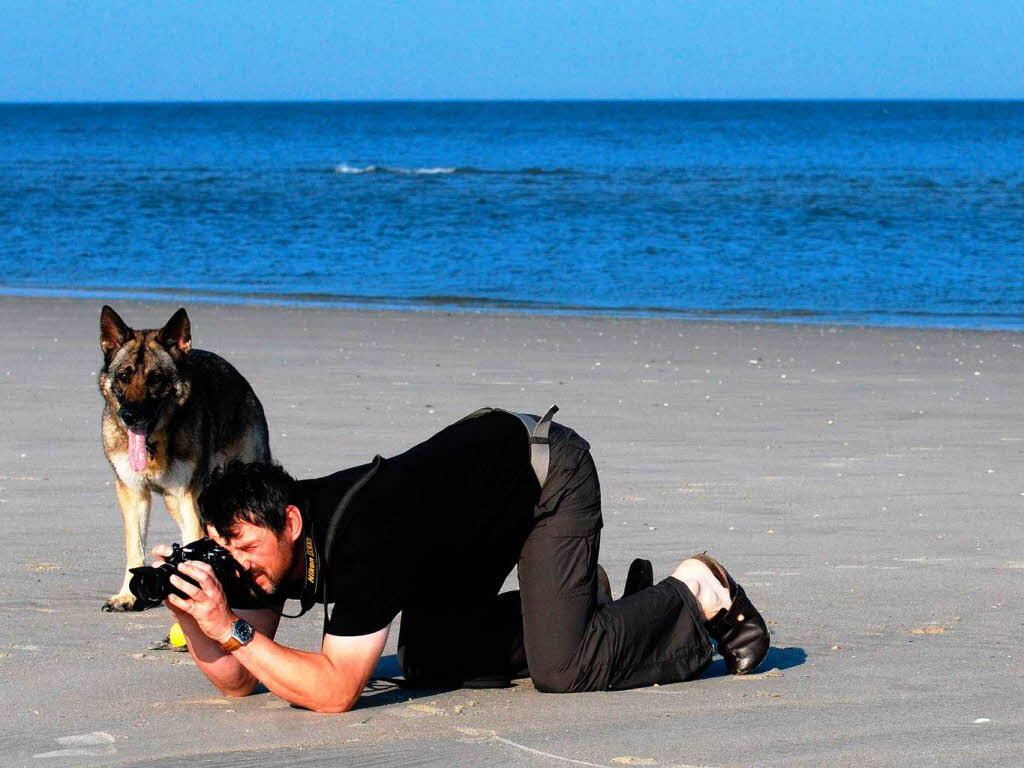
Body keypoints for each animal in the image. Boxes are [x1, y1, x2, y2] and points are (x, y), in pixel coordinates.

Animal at [96, 307, 270, 614]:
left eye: (155, 378)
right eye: (124, 376)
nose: (130, 416)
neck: (154, 443)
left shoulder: (188, 496)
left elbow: (193, 547)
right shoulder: (134, 494)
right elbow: (135, 546)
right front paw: (127, 596)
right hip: (173, 502)